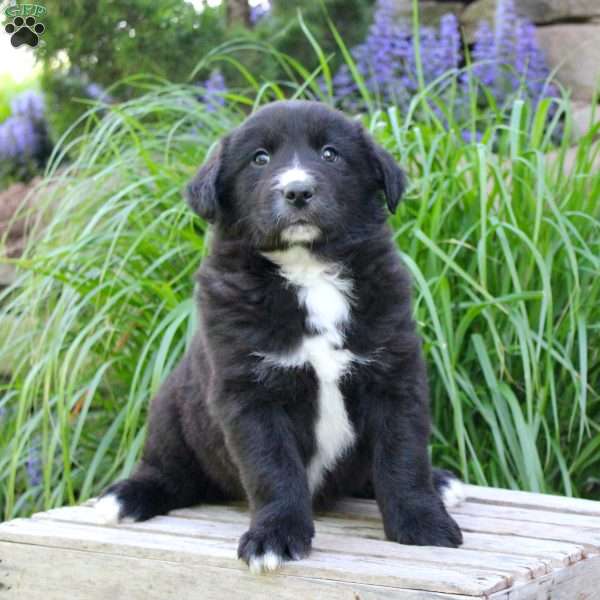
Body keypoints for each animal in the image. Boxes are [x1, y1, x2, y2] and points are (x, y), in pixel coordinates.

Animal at [97, 101, 464, 576]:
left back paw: (441, 482)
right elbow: (273, 469)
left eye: (330, 154)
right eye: (260, 159)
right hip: (170, 408)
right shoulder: (250, 392)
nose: (298, 192)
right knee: (171, 474)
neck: (308, 270)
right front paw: (274, 537)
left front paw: (423, 522)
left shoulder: (394, 374)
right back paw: (125, 497)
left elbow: (402, 457)